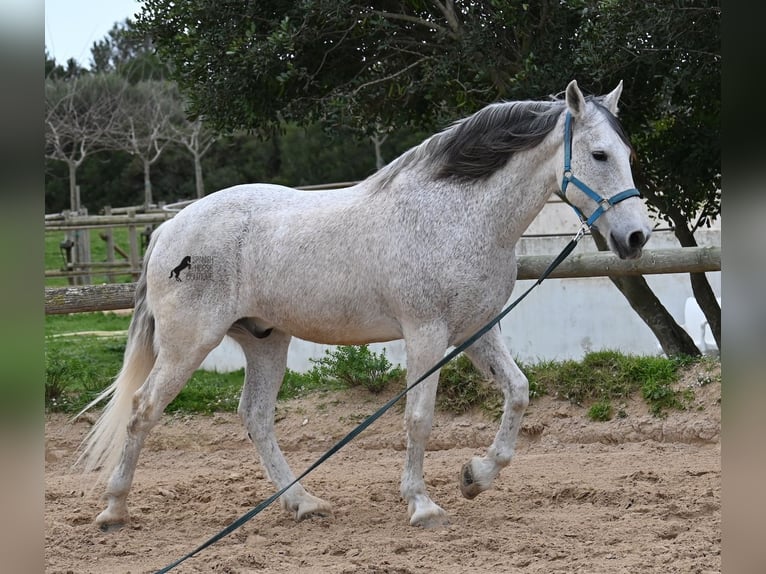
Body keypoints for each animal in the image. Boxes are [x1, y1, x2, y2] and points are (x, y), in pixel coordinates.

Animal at [78, 80, 656, 532]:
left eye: (628, 155)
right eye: (599, 155)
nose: (635, 237)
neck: (459, 214)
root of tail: (169, 228)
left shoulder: (477, 330)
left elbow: (518, 392)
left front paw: (475, 476)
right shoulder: (426, 333)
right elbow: (419, 417)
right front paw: (422, 505)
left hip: (265, 340)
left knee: (256, 417)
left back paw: (304, 503)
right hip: (187, 344)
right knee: (143, 409)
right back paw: (114, 510)